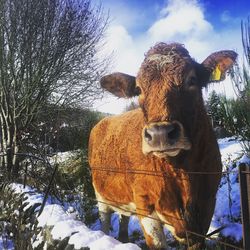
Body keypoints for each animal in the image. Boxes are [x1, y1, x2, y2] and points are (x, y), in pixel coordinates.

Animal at [89, 43, 237, 248]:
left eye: (191, 80)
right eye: (138, 89)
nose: (159, 133)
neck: (182, 173)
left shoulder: (206, 206)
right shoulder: (145, 205)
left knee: (123, 218)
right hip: (100, 195)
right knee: (104, 220)